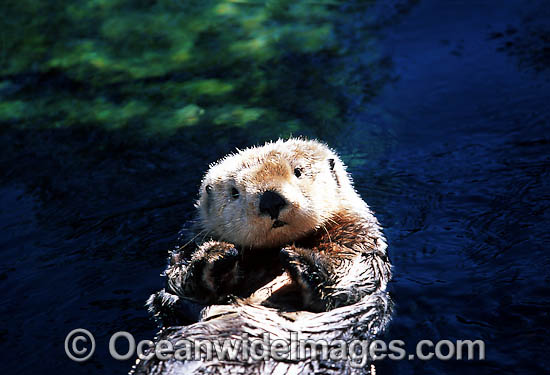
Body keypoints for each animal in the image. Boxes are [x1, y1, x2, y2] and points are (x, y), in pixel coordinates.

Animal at [133, 140, 392, 374]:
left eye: (298, 171)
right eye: (234, 192)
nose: (270, 200)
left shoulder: (357, 236)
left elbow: (353, 271)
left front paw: (298, 258)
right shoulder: (190, 244)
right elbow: (178, 281)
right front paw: (218, 254)